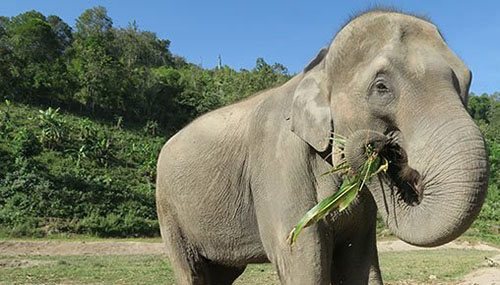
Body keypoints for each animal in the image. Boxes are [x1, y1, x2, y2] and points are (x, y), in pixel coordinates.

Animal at [156, 8, 488, 284]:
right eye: (381, 87)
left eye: (467, 82)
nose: (377, 145)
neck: (318, 67)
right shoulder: (280, 162)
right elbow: (300, 255)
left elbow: (359, 260)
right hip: (169, 211)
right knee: (192, 271)